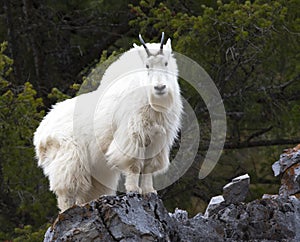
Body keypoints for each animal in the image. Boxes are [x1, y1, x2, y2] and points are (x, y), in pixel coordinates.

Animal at [33, 33, 183, 211]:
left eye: (166, 63)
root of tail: (41, 132)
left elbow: (148, 167)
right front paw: (134, 190)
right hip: (69, 156)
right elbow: (134, 164)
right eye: (147, 65)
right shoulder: (132, 135)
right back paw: (68, 210)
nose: (159, 88)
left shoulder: (157, 140)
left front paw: (150, 191)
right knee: (67, 188)